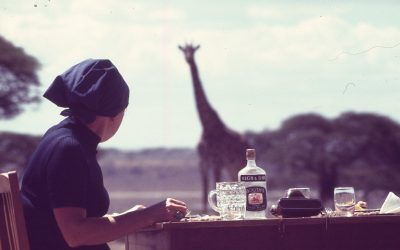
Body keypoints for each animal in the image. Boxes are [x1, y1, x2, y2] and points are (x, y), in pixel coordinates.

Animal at [179, 44, 250, 212]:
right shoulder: (203, 161)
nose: (189, 59)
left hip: (234, 163)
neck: (206, 125)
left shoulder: (217, 161)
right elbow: (204, 189)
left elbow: (215, 188)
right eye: (184, 51)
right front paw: (204, 212)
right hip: (230, 166)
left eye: (193, 51)